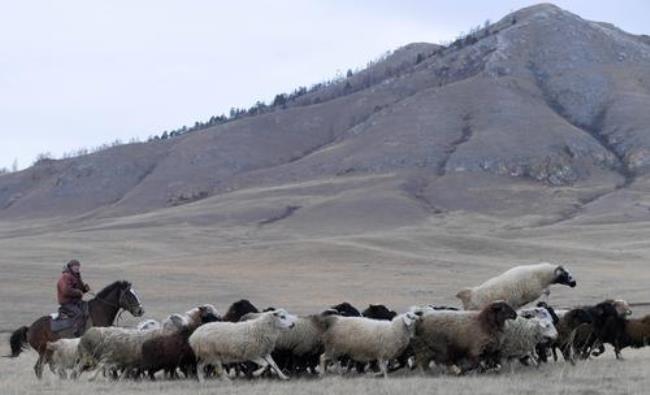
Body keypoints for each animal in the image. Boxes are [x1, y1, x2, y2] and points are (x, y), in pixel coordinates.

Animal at [5, 280, 143, 378]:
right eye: (129, 295)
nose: (140, 310)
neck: (99, 312)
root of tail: (30, 328)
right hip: (44, 351)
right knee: (40, 368)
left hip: (49, 352)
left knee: (47, 368)